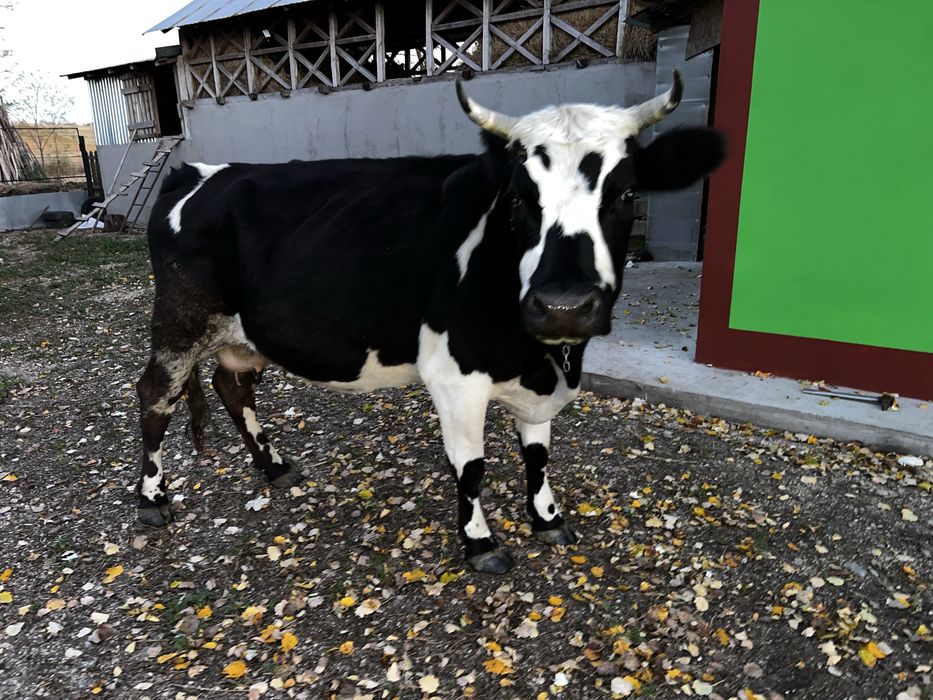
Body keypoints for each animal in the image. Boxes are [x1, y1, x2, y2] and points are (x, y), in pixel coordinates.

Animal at [135, 70, 724, 573]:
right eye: (518, 198)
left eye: (628, 193)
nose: (563, 304)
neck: (539, 359)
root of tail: (199, 171)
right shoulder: (454, 378)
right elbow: (471, 466)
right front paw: (480, 543)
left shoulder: (539, 383)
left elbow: (537, 455)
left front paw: (548, 520)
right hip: (179, 323)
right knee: (156, 396)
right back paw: (152, 498)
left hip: (247, 333)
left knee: (232, 387)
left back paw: (275, 467)